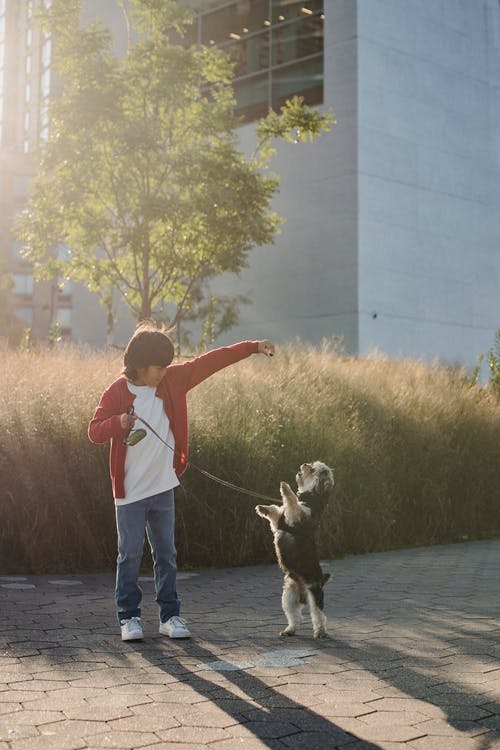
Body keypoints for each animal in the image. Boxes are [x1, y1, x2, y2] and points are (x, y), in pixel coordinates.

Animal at [256, 464, 334, 640]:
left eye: (314, 470)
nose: (304, 465)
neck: (311, 500)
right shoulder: (278, 521)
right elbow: (275, 511)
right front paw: (262, 508)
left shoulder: (296, 516)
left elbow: (291, 500)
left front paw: (285, 488)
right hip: (288, 597)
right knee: (295, 616)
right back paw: (289, 630)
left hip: (314, 594)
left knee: (319, 615)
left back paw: (320, 631)